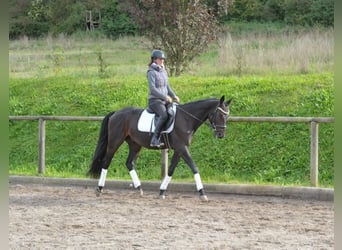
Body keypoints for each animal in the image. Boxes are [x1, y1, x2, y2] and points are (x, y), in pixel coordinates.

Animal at [88, 95, 232, 201]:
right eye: (220, 115)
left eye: (227, 115)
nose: (221, 135)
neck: (186, 119)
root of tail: (116, 113)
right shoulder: (182, 148)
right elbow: (194, 167)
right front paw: (202, 193)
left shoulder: (179, 149)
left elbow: (171, 170)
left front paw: (162, 191)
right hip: (115, 142)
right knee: (106, 162)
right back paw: (99, 189)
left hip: (135, 144)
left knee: (129, 163)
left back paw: (139, 189)